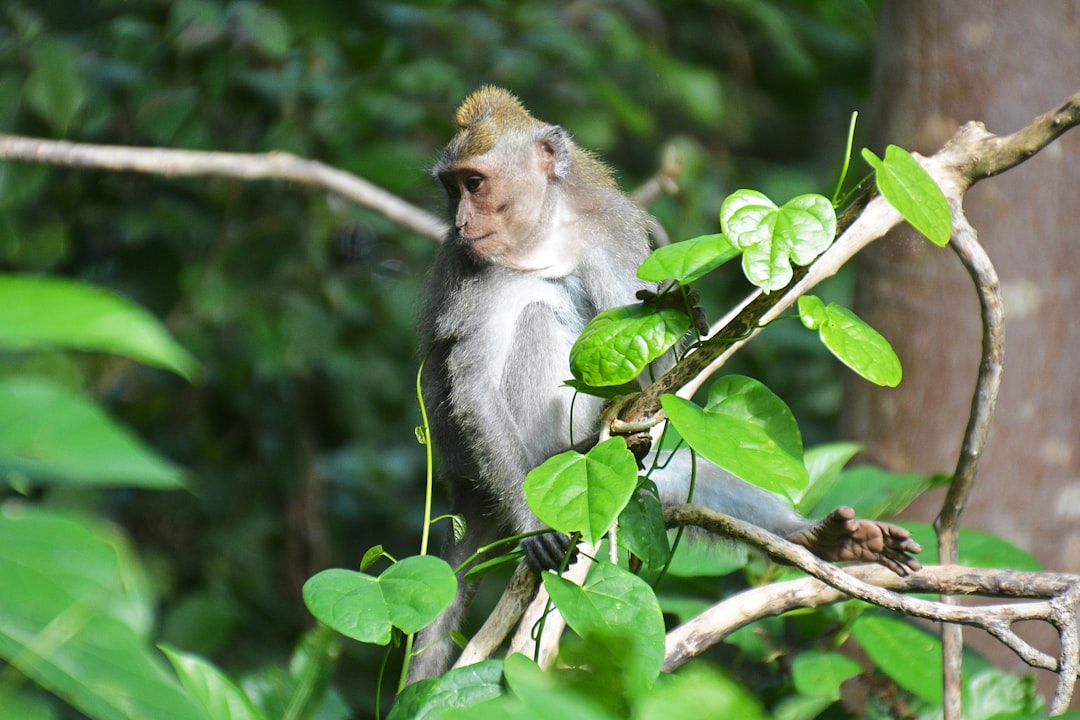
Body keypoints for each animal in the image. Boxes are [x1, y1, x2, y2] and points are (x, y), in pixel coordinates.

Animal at [412, 88, 920, 682]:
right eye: (453, 188)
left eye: (473, 184)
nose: (461, 220)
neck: (542, 238)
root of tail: (462, 494)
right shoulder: (472, 271)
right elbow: (472, 387)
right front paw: (535, 525)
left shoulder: (608, 232)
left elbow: (649, 370)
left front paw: (677, 312)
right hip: (508, 463)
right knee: (535, 322)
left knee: (667, 480)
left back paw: (820, 537)